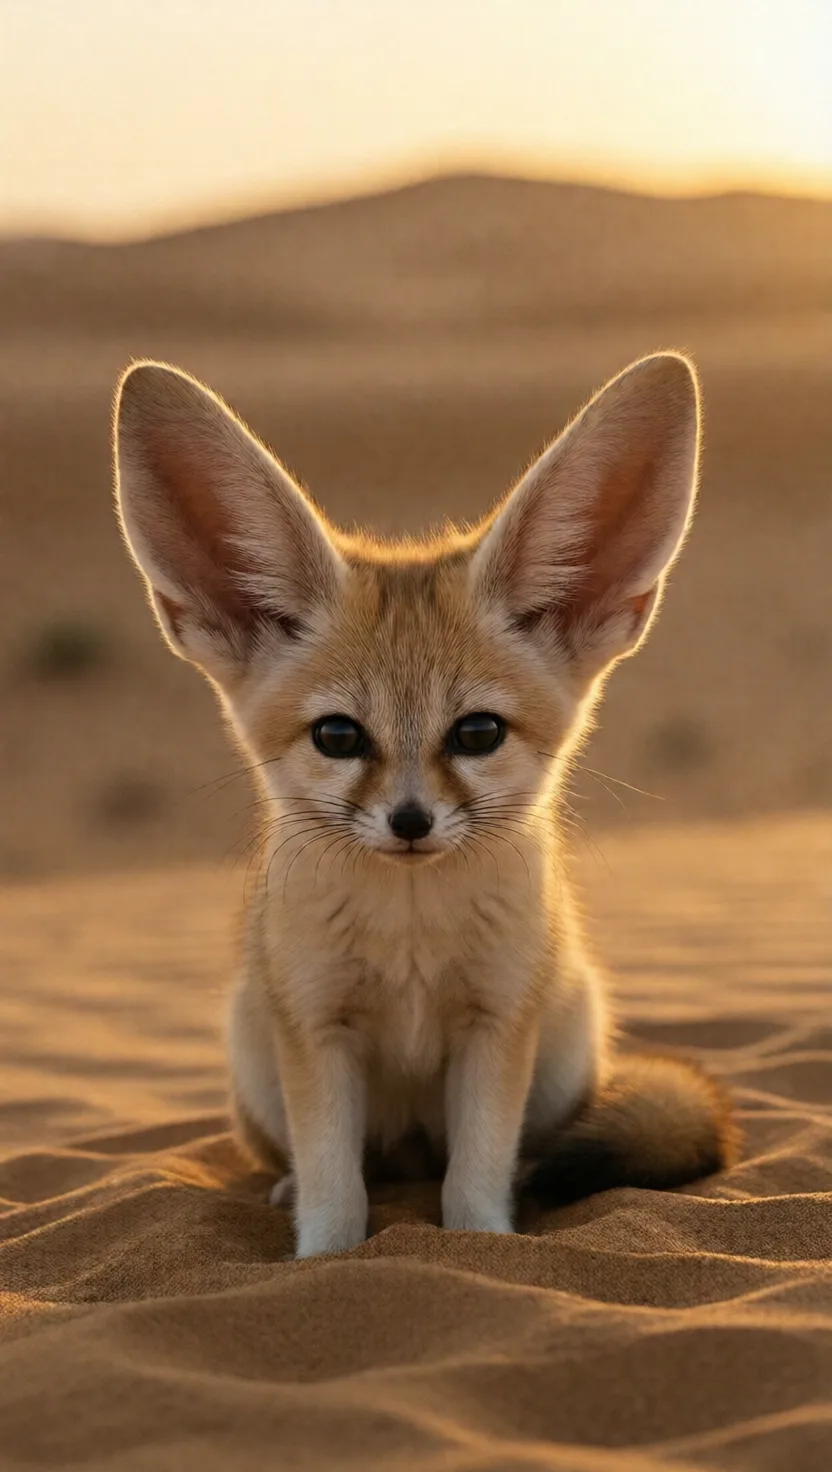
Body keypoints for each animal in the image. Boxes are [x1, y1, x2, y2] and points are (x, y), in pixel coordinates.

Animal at [114, 351, 738, 1258]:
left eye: (476, 733)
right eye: (338, 737)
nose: (410, 822)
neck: (410, 941)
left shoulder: (495, 1025)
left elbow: (471, 1182)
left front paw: (482, 1249)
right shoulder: (318, 1026)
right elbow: (336, 1191)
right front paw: (324, 1261)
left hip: (564, 1052)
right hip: (256, 1058)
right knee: (337, 1165)